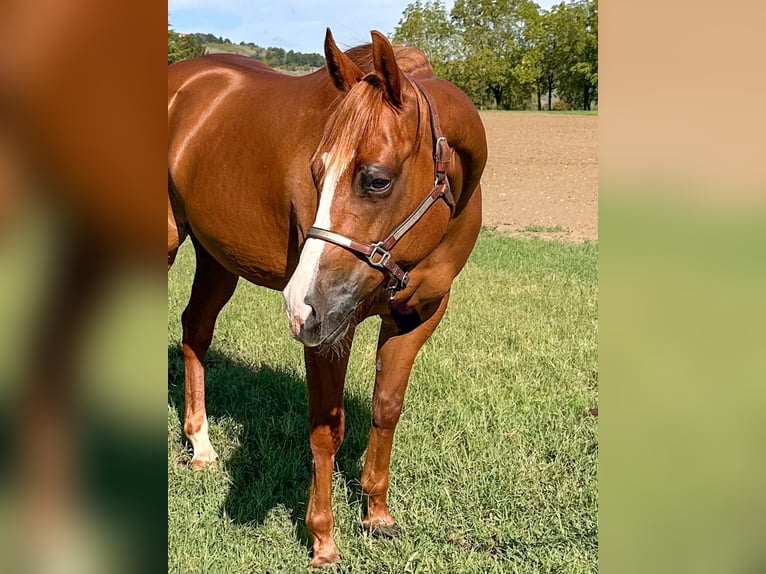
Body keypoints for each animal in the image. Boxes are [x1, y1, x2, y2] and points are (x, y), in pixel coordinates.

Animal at [168, 29, 487, 567]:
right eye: (316, 171)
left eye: (377, 178)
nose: (300, 305)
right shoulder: (331, 329)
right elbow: (326, 429)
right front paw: (322, 539)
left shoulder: (417, 315)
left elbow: (386, 408)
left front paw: (377, 514)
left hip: (217, 260)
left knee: (196, 331)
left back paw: (202, 445)